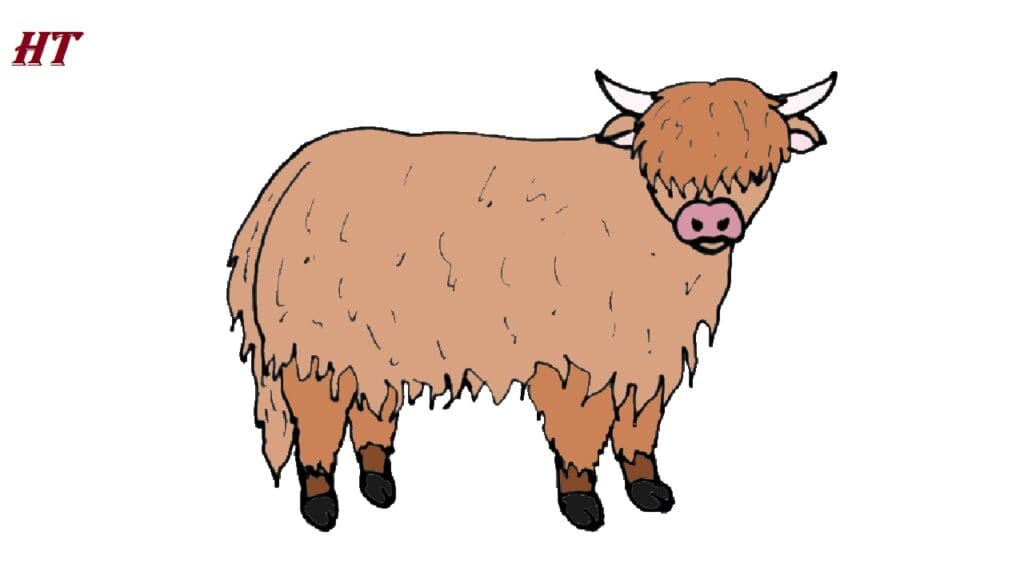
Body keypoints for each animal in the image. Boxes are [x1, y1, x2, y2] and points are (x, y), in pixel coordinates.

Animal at [226, 70, 836, 531]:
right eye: (659, 167)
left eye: (758, 169)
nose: (709, 218)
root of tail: (292, 172)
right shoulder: (576, 356)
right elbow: (582, 430)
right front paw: (582, 503)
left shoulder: (647, 351)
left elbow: (640, 425)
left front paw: (648, 489)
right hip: (314, 342)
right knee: (319, 417)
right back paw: (321, 503)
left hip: (375, 337)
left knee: (369, 404)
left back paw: (379, 485)